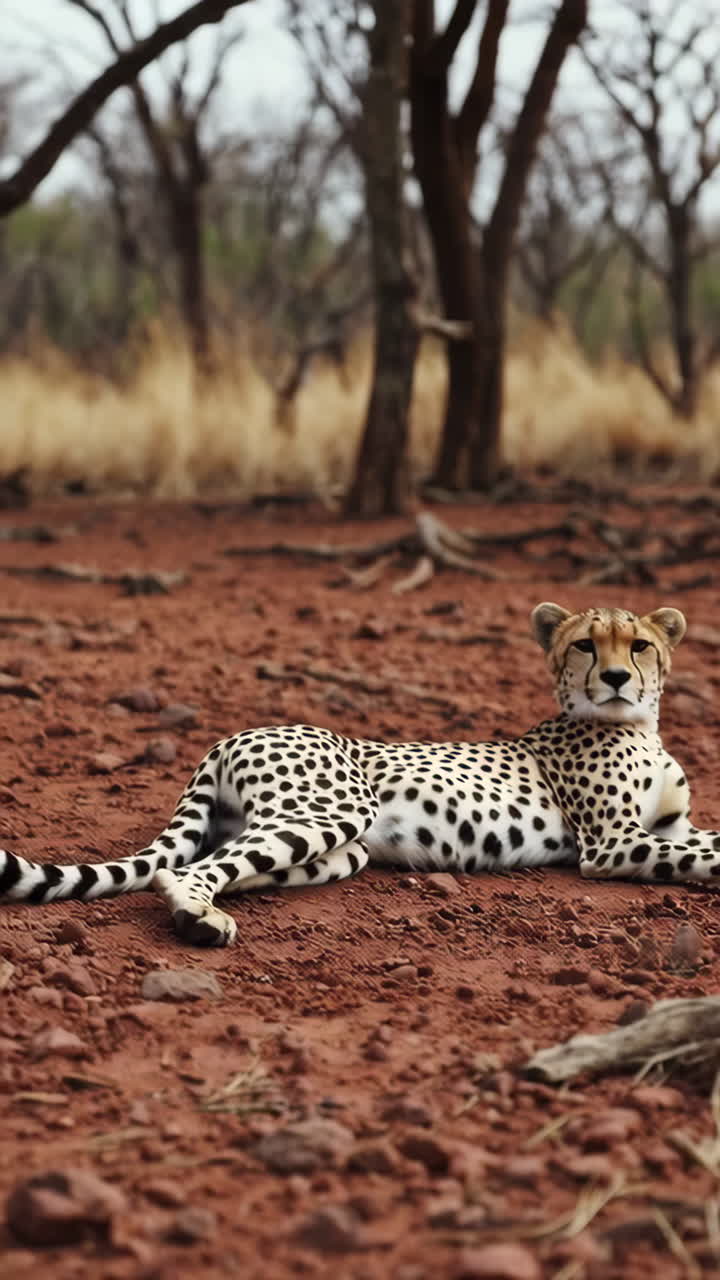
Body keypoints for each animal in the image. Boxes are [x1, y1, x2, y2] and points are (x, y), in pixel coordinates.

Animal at [2, 601, 720, 948]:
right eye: (584, 646)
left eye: (640, 646)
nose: (617, 678)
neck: (638, 725)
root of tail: (232, 733)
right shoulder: (612, 844)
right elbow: (710, 852)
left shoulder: (668, 828)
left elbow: (704, 838)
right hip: (332, 810)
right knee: (184, 871)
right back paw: (200, 919)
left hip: (341, 848)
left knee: (222, 862)